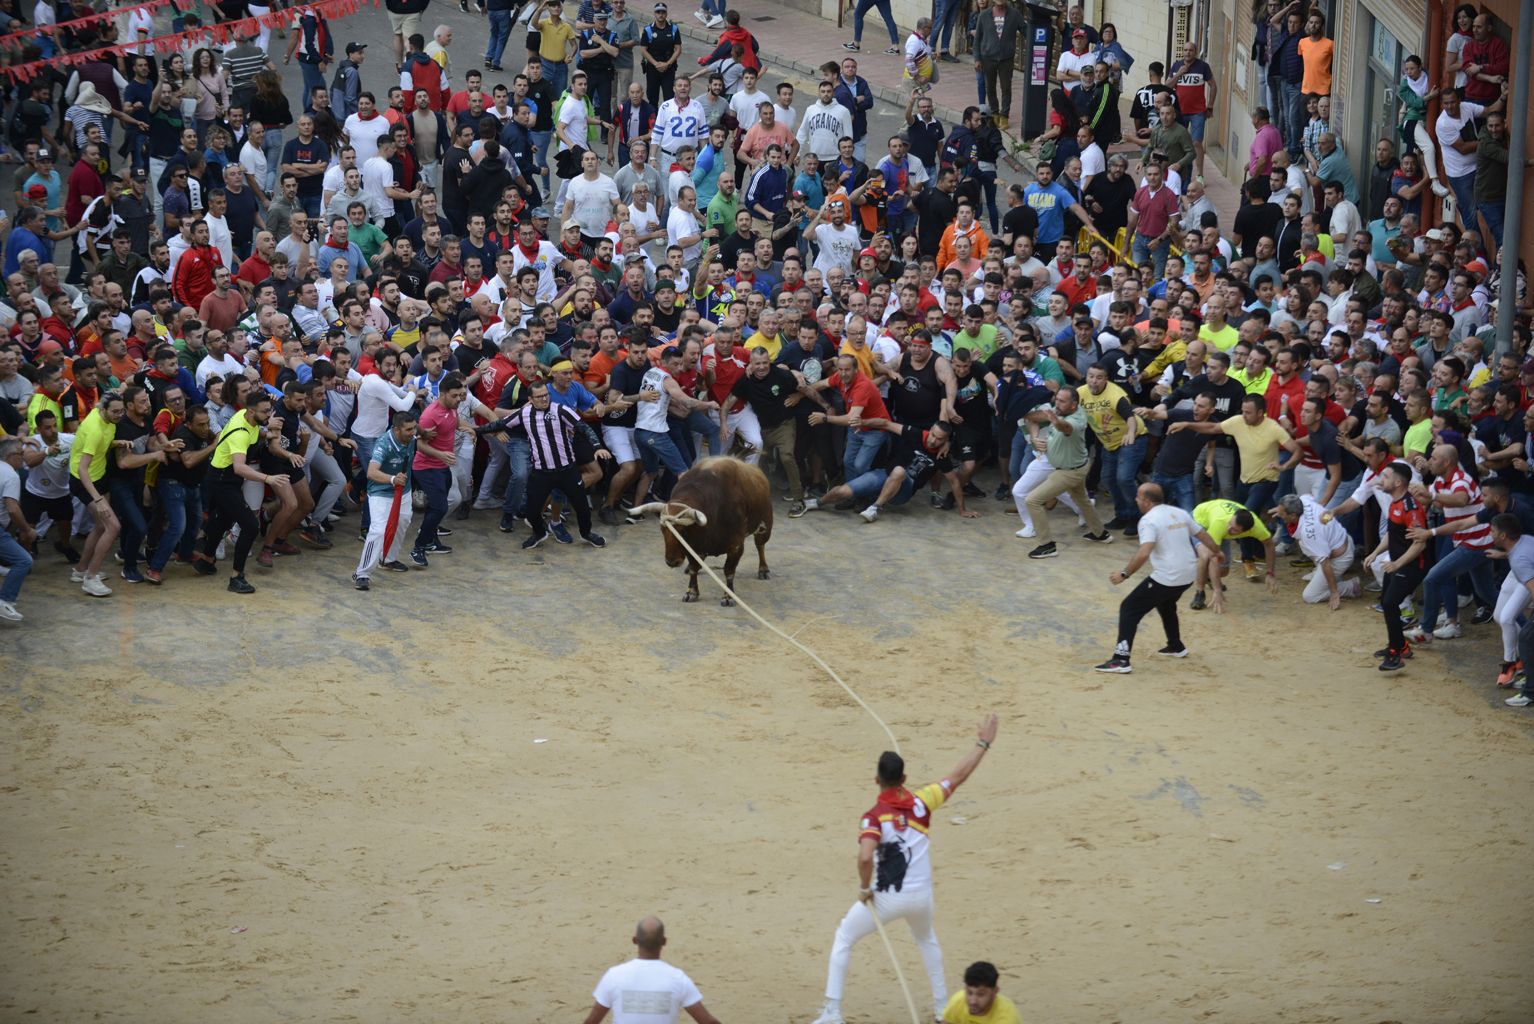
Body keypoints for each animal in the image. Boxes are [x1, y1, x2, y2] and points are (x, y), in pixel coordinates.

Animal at [628, 456, 773, 607]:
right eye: (662, 530)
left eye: (684, 531)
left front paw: (728, 596)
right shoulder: (692, 547)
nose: (672, 562)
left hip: (765, 526)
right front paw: (691, 592)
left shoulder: (736, 546)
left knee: (760, 546)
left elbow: (729, 571)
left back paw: (763, 570)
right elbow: (694, 568)